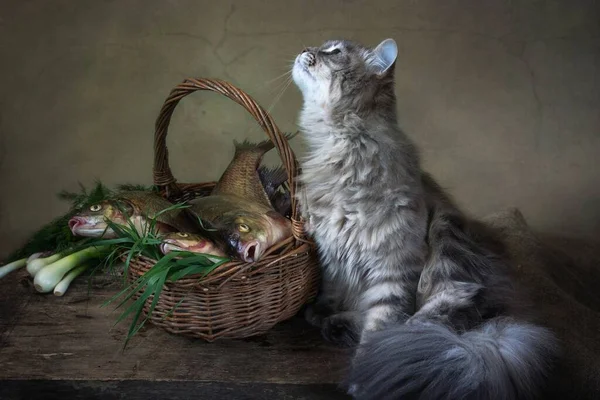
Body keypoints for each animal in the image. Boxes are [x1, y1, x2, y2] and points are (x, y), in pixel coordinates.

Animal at [292, 38, 560, 400]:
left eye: (334, 51)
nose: (303, 50)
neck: (341, 143)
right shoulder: (333, 252)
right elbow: (334, 288)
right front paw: (323, 310)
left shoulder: (393, 263)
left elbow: (382, 321)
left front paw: (366, 372)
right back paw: (334, 323)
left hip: (447, 244)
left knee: (429, 320)